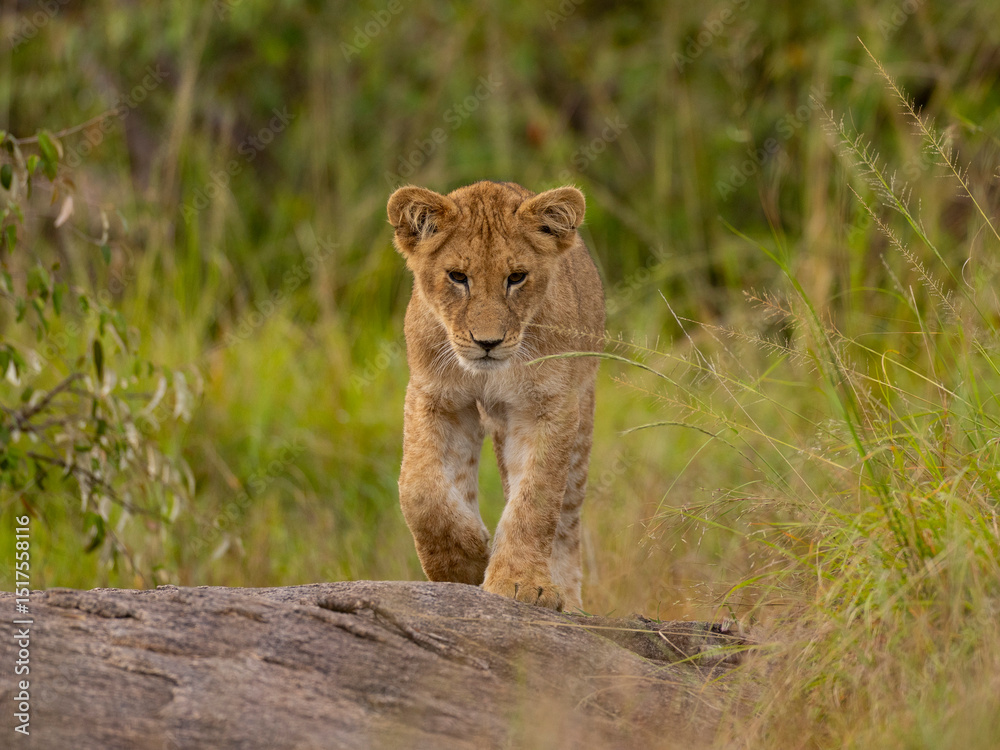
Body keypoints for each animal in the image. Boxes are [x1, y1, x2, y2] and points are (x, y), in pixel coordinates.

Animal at [386, 180, 605, 611]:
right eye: (458, 276)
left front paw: (521, 582)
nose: (487, 343)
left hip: (581, 415)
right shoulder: (436, 397)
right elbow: (420, 490)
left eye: (516, 277)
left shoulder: (547, 406)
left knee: (567, 521)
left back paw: (569, 602)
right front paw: (463, 563)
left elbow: (535, 499)